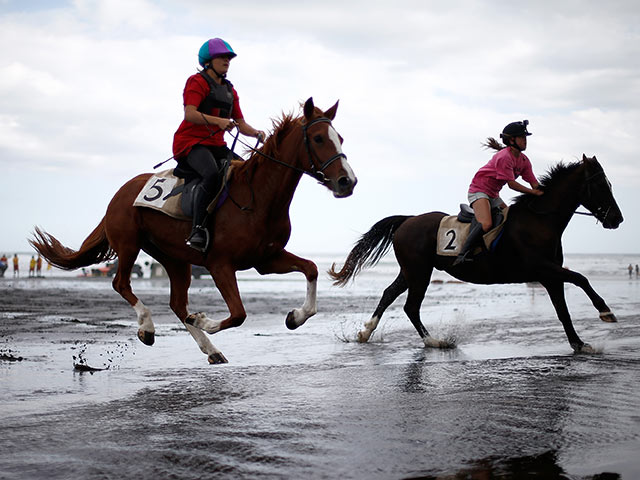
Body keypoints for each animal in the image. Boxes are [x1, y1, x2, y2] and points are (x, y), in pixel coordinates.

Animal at [32, 98, 358, 364]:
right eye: (318, 138)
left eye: (340, 138)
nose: (347, 181)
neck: (258, 197)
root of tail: (121, 192)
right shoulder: (220, 264)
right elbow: (238, 314)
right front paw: (204, 320)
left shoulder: (266, 260)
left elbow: (311, 268)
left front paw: (296, 316)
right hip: (129, 244)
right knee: (121, 283)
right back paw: (148, 327)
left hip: (175, 258)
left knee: (177, 303)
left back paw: (210, 349)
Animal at [332, 156, 624, 354]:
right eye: (600, 184)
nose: (617, 219)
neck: (539, 221)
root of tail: (408, 220)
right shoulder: (543, 268)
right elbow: (581, 278)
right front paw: (606, 311)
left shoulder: (550, 275)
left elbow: (563, 310)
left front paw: (579, 344)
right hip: (419, 272)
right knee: (410, 306)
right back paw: (434, 341)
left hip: (411, 271)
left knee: (390, 294)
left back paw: (366, 332)